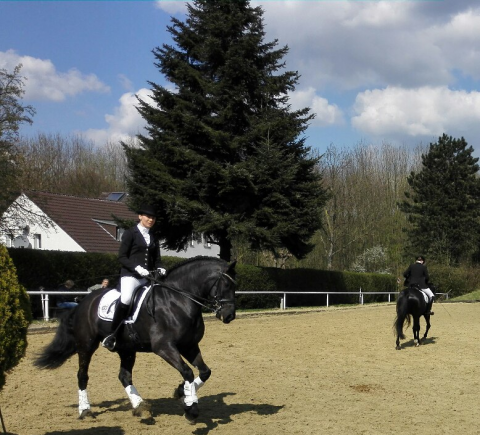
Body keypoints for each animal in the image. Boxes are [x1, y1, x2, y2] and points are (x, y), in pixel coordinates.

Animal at [33, 258, 236, 424]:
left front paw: (182, 392)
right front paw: (190, 407)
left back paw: (140, 407)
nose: (229, 316)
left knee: (124, 376)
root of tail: (84, 301)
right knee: (82, 375)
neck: (178, 300)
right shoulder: (164, 347)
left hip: (127, 349)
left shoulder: (189, 345)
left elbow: (204, 372)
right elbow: (187, 372)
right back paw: (85, 410)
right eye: (226, 284)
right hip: (86, 345)